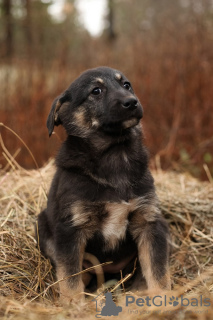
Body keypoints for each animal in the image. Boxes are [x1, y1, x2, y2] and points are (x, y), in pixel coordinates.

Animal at [36, 67, 170, 302]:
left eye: (126, 85)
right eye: (96, 91)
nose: (132, 102)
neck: (115, 153)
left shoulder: (149, 221)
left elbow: (157, 268)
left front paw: (162, 298)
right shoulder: (70, 229)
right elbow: (69, 276)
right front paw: (73, 304)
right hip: (43, 225)